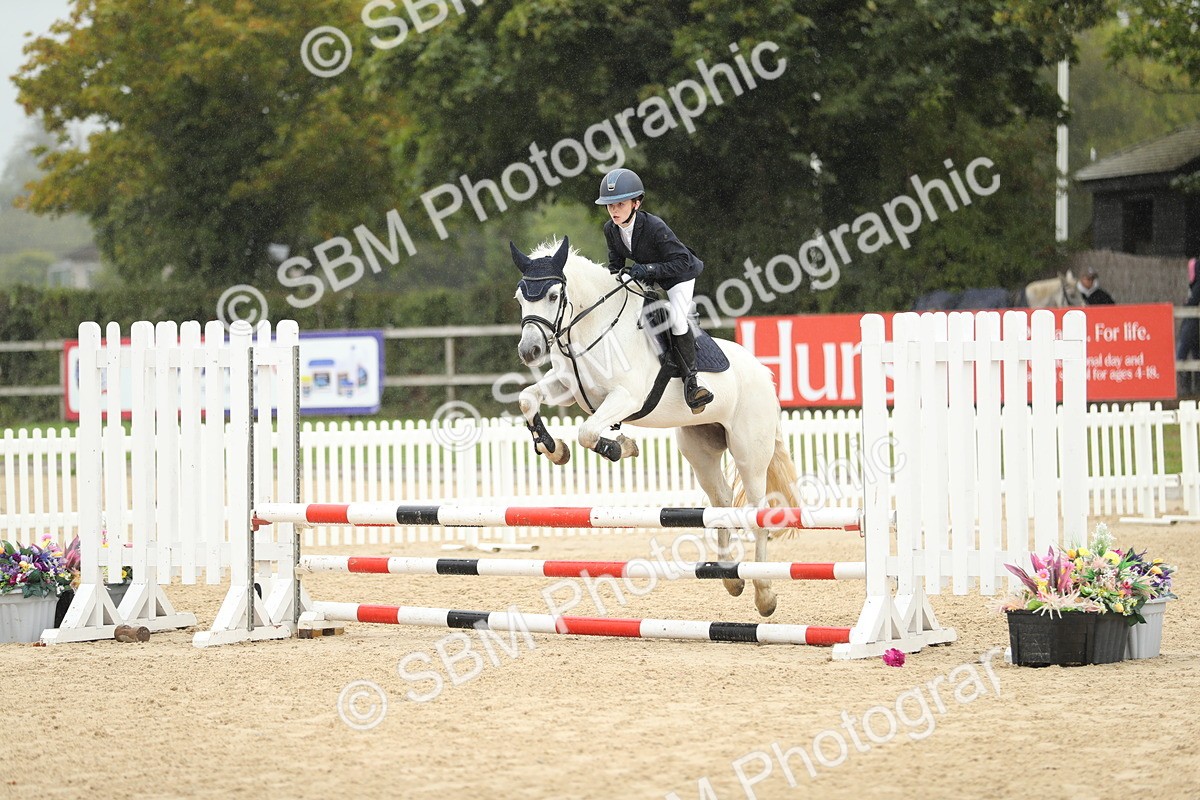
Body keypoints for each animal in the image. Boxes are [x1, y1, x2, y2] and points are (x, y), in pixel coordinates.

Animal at [510, 237, 804, 617]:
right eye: (520, 297)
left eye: (552, 295)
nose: (529, 351)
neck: (594, 328)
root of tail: (764, 374)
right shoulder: (567, 387)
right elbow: (528, 400)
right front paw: (553, 448)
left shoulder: (626, 396)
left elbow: (587, 432)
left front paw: (620, 446)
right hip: (699, 449)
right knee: (722, 500)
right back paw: (730, 576)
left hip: (749, 452)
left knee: (759, 513)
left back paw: (764, 592)